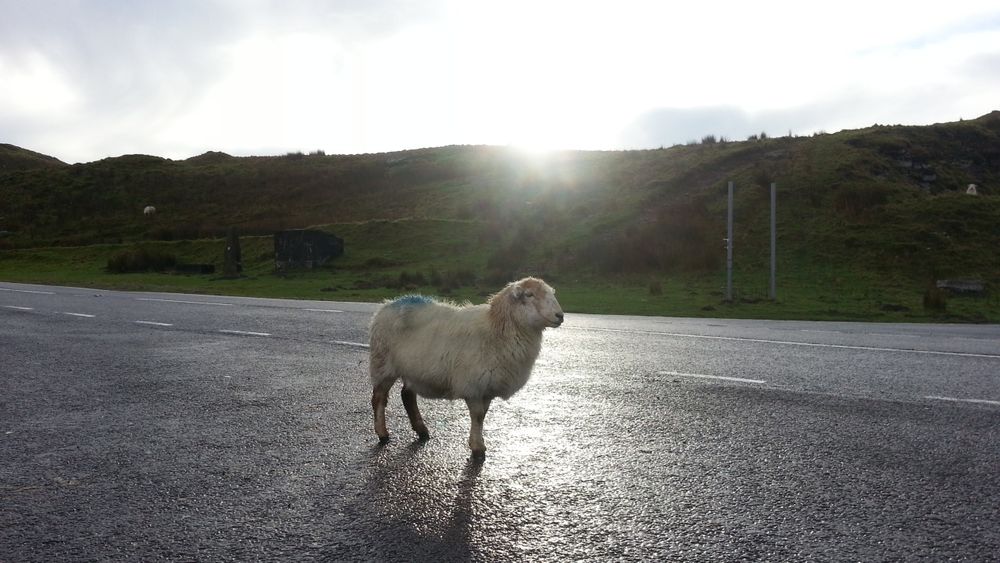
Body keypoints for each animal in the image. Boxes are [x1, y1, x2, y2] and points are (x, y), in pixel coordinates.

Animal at [368, 277, 563, 457]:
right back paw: (382, 434)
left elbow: (483, 416)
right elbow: (477, 415)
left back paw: (422, 431)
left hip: (413, 370)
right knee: (379, 399)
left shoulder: (487, 387)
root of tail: (387, 304)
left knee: (407, 396)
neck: (496, 329)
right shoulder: (473, 385)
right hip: (382, 364)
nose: (560, 316)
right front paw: (478, 448)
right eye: (529, 295)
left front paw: (478, 442)